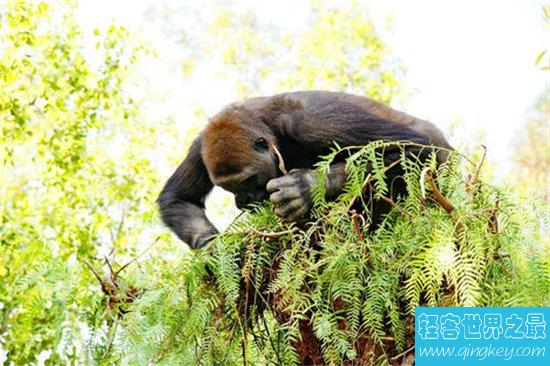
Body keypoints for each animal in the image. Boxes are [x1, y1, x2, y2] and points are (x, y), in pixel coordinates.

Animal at [156, 91, 452, 249]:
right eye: (228, 188)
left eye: (249, 179)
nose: (243, 202)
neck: (264, 124)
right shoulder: (201, 146)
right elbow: (178, 199)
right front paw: (210, 246)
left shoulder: (308, 121)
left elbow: (412, 147)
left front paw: (306, 187)